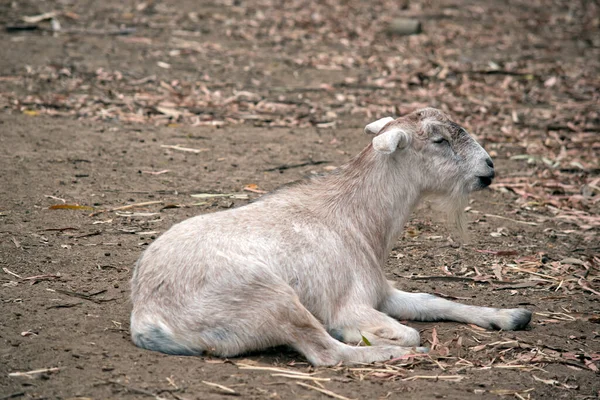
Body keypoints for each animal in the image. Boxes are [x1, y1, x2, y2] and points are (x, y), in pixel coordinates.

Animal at [129, 107, 532, 366]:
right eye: (438, 140)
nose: (488, 168)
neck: (356, 219)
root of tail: (147, 318)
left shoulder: (382, 292)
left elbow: (433, 301)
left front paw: (510, 315)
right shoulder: (352, 303)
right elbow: (408, 332)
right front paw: (369, 335)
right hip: (269, 297)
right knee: (327, 353)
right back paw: (388, 353)